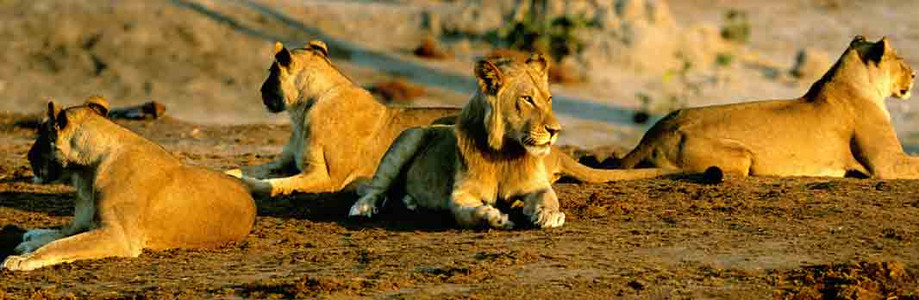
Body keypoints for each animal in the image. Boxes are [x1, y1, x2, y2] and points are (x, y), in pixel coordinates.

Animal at [3, 97, 256, 270]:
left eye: (40, 134)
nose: (28, 156)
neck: (86, 170)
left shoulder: (118, 236)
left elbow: (62, 244)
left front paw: (21, 259)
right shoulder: (85, 223)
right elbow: (61, 234)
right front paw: (30, 241)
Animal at [224, 41, 460, 197]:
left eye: (271, 72)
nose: (261, 91)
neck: (301, 112)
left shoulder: (326, 176)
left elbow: (273, 184)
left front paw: (246, 184)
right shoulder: (286, 162)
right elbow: (253, 169)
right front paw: (230, 173)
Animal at [350, 54, 676, 229]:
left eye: (549, 98)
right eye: (527, 99)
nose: (556, 130)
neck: (504, 153)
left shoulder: (536, 185)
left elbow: (547, 197)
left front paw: (549, 215)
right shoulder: (461, 194)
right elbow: (467, 212)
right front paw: (493, 217)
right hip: (410, 136)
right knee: (377, 186)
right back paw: (365, 207)